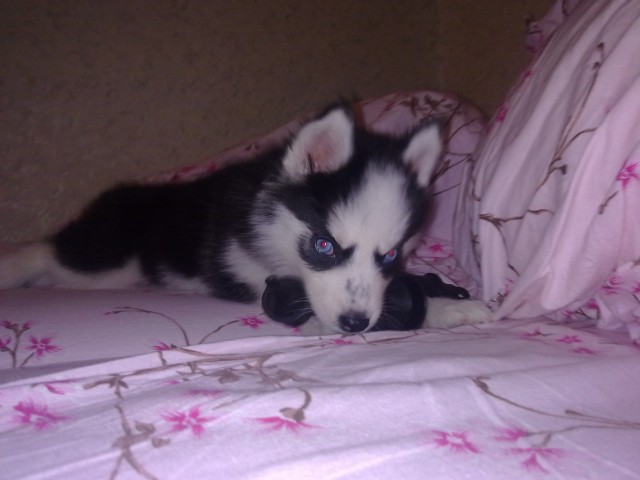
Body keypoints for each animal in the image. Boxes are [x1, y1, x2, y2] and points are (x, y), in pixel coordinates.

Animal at [0, 104, 491, 334]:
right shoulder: (251, 271)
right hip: (104, 261)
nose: (354, 324)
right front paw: (440, 308)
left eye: (389, 256)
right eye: (324, 245)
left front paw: (446, 303)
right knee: (46, 252)